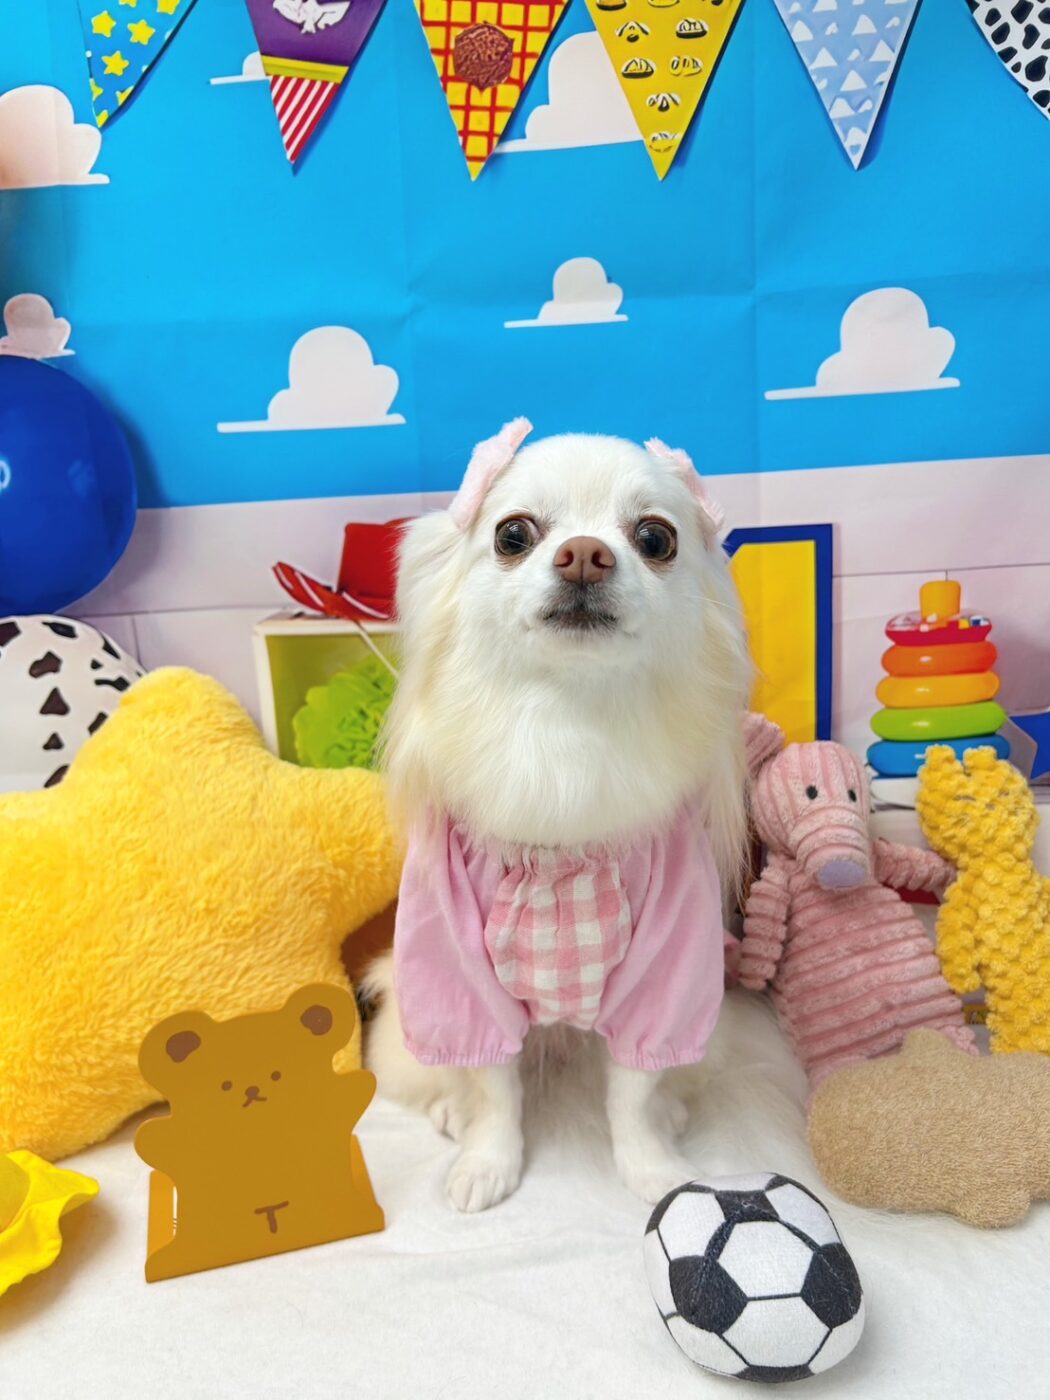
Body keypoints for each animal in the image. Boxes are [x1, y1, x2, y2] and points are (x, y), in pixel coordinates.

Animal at [364, 420, 751, 1212]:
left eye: (656, 538)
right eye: (513, 534)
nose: (584, 554)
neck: (565, 727)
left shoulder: (667, 968)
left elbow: (632, 1090)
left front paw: (651, 1168)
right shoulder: (458, 971)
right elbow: (494, 1086)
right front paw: (488, 1163)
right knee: (443, 1073)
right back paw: (450, 1111)